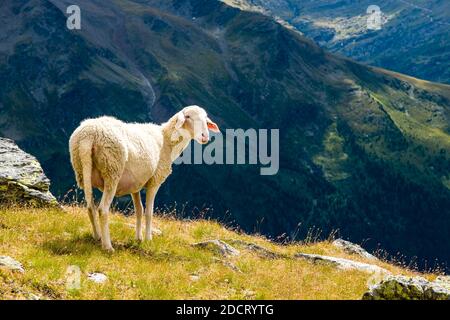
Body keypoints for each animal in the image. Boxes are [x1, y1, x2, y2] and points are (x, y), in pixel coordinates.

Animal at [68, 106, 220, 251]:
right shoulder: (154, 181)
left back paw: (97, 237)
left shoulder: (135, 185)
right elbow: (148, 212)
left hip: (83, 170)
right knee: (102, 210)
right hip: (112, 171)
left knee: (90, 207)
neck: (167, 140)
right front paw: (148, 239)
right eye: (188, 116)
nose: (205, 136)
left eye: (205, 119)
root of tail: (88, 136)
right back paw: (107, 246)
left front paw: (139, 238)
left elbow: (139, 210)